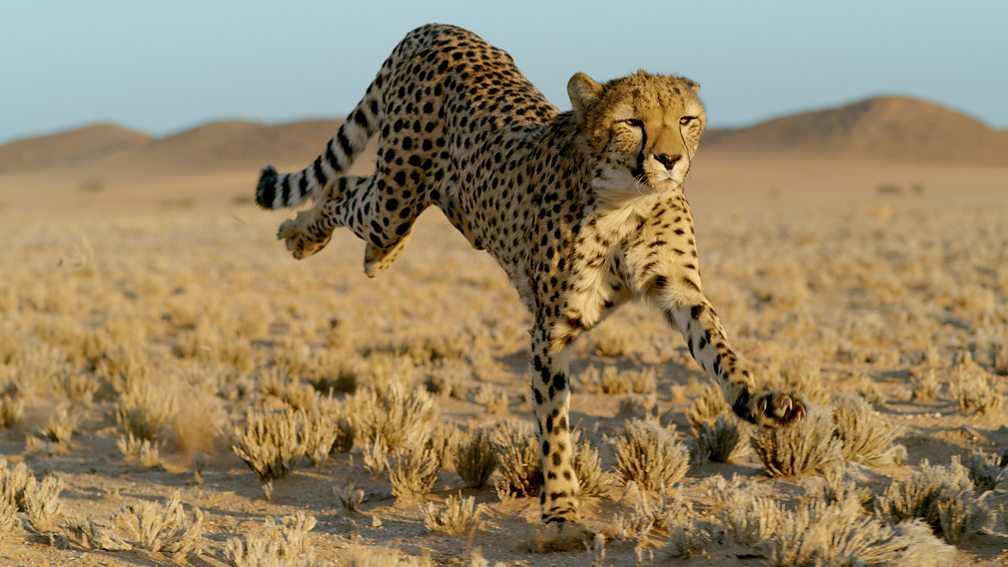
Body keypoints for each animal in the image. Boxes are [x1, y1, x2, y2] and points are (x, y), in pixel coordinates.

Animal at [254, 23, 805, 542]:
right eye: (632, 122)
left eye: (686, 120)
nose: (670, 160)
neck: (626, 200)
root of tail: (441, 27)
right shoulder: (553, 326)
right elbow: (554, 426)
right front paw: (561, 513)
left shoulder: (678, 289)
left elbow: (718, 347)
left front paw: (759, 401)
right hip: (396, 191)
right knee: (342, 189)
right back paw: (302, 235)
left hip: (428, 198)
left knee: (364, 193)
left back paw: (375, 254)